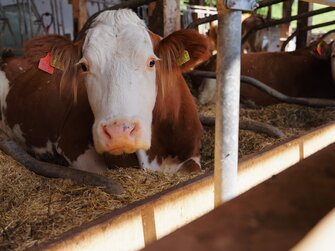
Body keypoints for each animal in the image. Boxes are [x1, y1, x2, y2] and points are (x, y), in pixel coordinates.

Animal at [0, 9, 210, 176]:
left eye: (151, 62)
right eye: (84, 66)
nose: (118, 132)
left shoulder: (191, 148)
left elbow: (191, 168)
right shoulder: (72, 143)